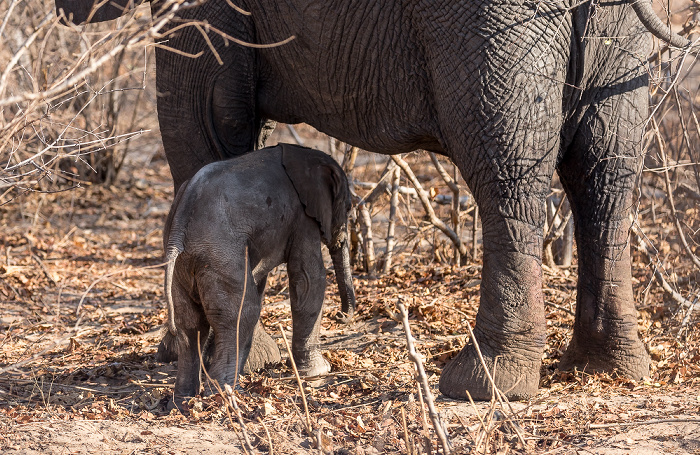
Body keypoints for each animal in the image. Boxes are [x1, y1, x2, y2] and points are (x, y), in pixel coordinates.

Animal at [164, 143, 356, 402]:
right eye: (349, 207)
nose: (341, 316)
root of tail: (179, 228)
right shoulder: (301, 217)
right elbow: (309, 278)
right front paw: (319, 371)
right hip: (221, 254)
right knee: (242, 313)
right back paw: (229, 395)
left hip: (186, 265)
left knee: (190, 324)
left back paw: (183, 401)